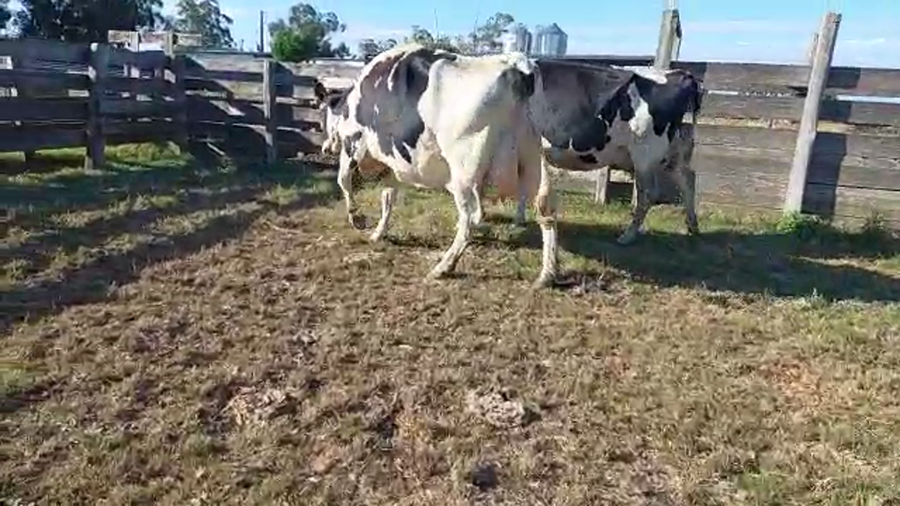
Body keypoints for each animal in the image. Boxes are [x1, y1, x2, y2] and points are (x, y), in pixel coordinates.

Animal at [319, 43, 559, 288]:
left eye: (322, 116)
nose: (326, 148)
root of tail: (517, 66)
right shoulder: (394, 165)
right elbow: (388, 198)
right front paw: (378, 233)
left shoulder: (353, 143)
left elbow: (343, 180)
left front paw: (357, 219)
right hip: (534, 156)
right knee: (544, 208)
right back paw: (547, 274)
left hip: (464, 169)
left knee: (470, 217)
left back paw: (443, 267)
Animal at [513, 60, 703, 245]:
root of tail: (681, 74)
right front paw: (519, 219)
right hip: (675, 152)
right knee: (688, 179)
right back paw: (692, 226)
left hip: (645, 154)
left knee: (648, 193)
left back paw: (627, 236)